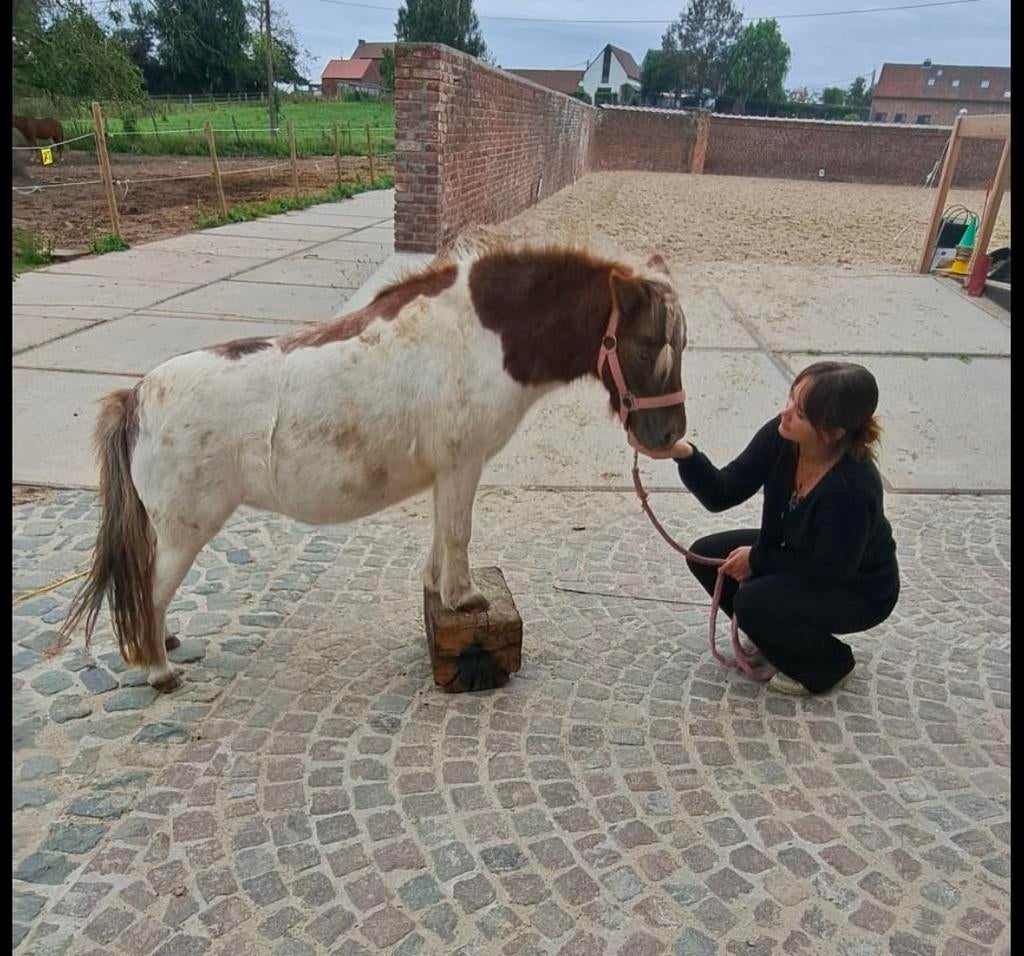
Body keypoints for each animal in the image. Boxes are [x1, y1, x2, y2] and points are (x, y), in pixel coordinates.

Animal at [60, 240, 690, 692]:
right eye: (643, 345)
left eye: (680, 346)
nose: (669, 436)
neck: (480, 334)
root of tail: (135, 397)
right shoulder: (463, 465)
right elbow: (458, 533)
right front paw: (465, 599)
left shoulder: (447, 473)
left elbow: (441, 534)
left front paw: (440, 591)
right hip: (185, 531)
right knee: (151, 589)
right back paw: (158, 669)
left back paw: (165, 645)